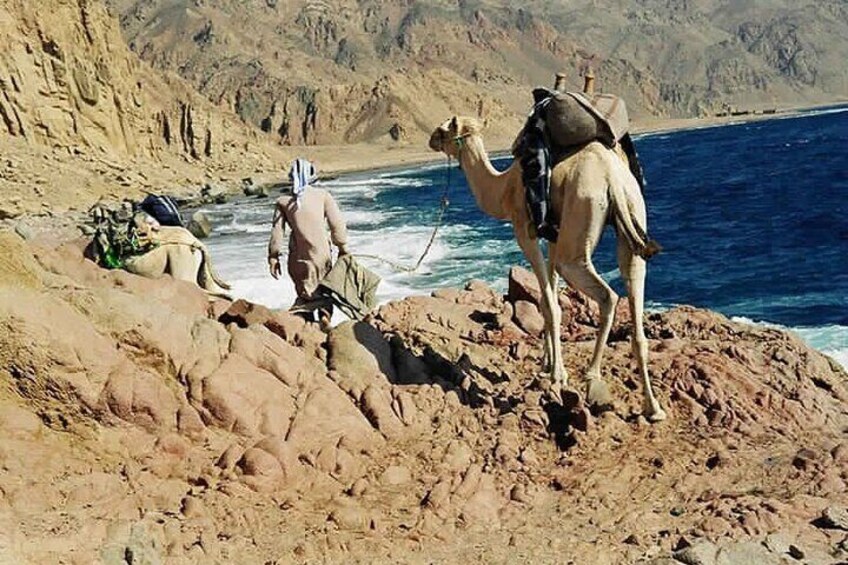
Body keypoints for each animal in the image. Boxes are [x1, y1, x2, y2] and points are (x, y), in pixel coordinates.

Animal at [428, 117, 664, 420]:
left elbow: (550, 305)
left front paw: (557, 375)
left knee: (606, 294)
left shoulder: (525, 230)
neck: (503, 189)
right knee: (634, 281)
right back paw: (653, 407)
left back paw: (591, 376)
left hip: (582, 211)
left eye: (445, 128)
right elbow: (547, 298)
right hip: (632, 214)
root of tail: (612, 178)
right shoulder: (554, 234)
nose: (431, 139)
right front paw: (545, 364)